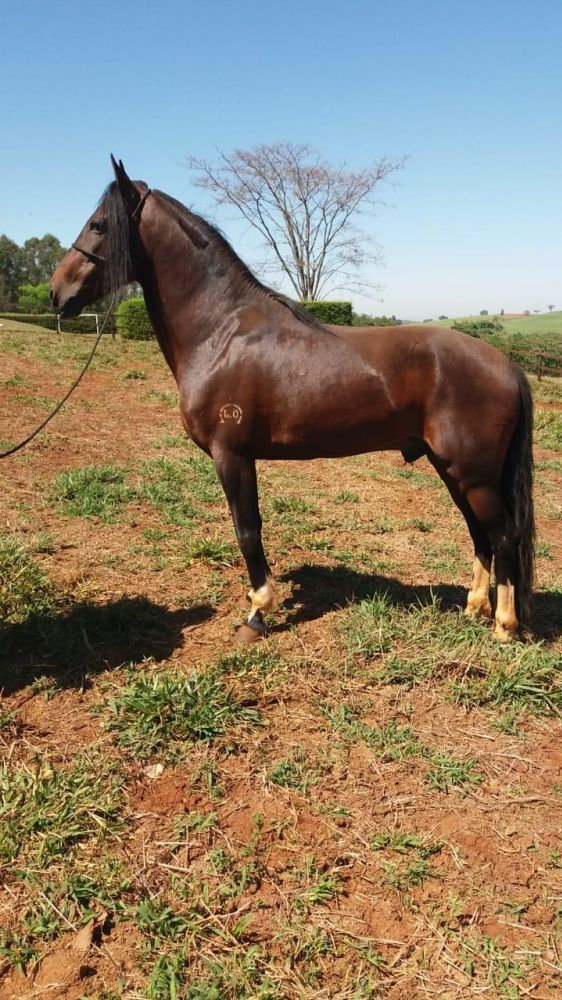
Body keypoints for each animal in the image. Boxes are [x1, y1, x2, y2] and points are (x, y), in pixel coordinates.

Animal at [50, 156, 534, 644]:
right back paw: (473, 609)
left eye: (97, 224)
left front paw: (257, 613)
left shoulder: (232, 455)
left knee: (504, 537)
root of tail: (509, 367)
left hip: (473, 475)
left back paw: (504, 625)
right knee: (480, 535)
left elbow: (247, 530)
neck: (221, 331)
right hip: (454, 470)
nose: (56, 292)